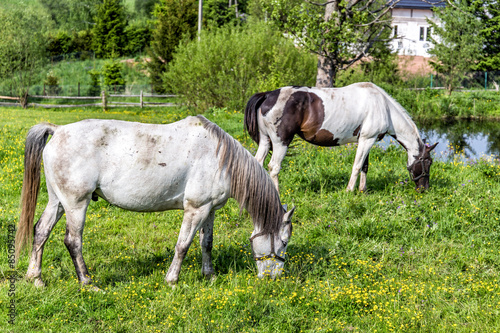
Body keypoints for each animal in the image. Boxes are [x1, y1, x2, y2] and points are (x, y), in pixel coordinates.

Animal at [15, 115, 294, 286]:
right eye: (283, 242)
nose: (275, 278)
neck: (219, 157)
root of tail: (58, 130)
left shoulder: (209, 209)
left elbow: (206, 243)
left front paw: (210, 276)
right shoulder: (195, 209)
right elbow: (183, 245)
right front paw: (172, 280)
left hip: (58, 202)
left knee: (40, 231)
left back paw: (35, 279)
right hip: (76, 204)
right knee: (73, 241)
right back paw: (87, 282)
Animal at [243, 81, 438, 192]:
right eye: (428, 162)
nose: (424, 189)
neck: (383, 106)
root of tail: (268, 95)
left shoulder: (366, 140)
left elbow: (365, 166)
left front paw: (362, 190)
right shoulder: (367, 139)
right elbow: (357, 166)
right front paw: (350, 190)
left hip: (265, 141)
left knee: (257, 162)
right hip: (281, 142)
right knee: (274, 167)